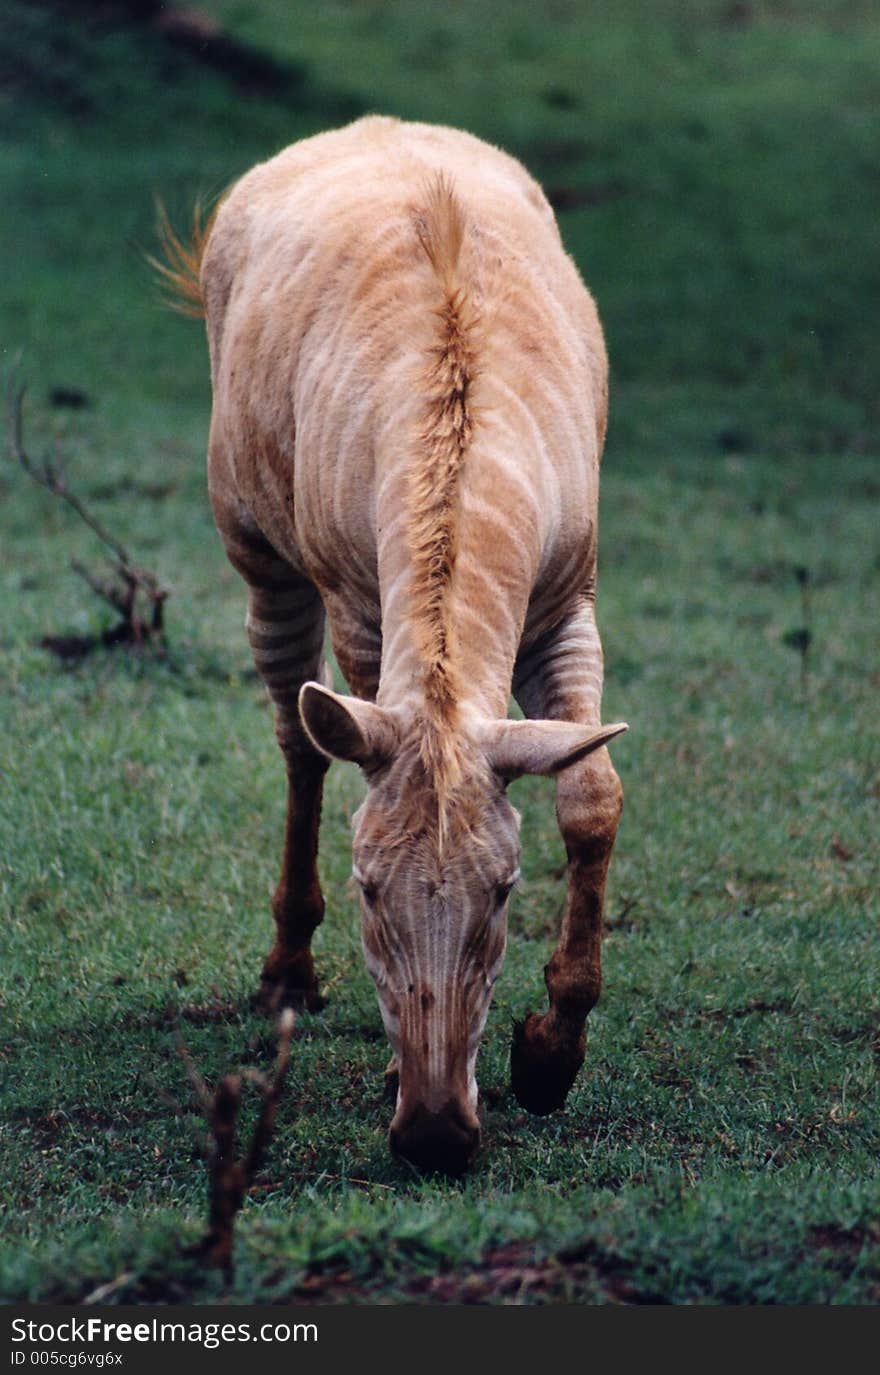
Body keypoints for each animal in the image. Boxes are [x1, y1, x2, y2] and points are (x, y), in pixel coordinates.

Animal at [165, 112, 627, 1177]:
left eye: (504, 890)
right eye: (371, 890)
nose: (435, 1134)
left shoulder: (567, 602)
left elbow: (591, 797)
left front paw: (551, 1054)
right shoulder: (362, 614)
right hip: (264, 563)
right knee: (298, 746)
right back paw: (288, 971)